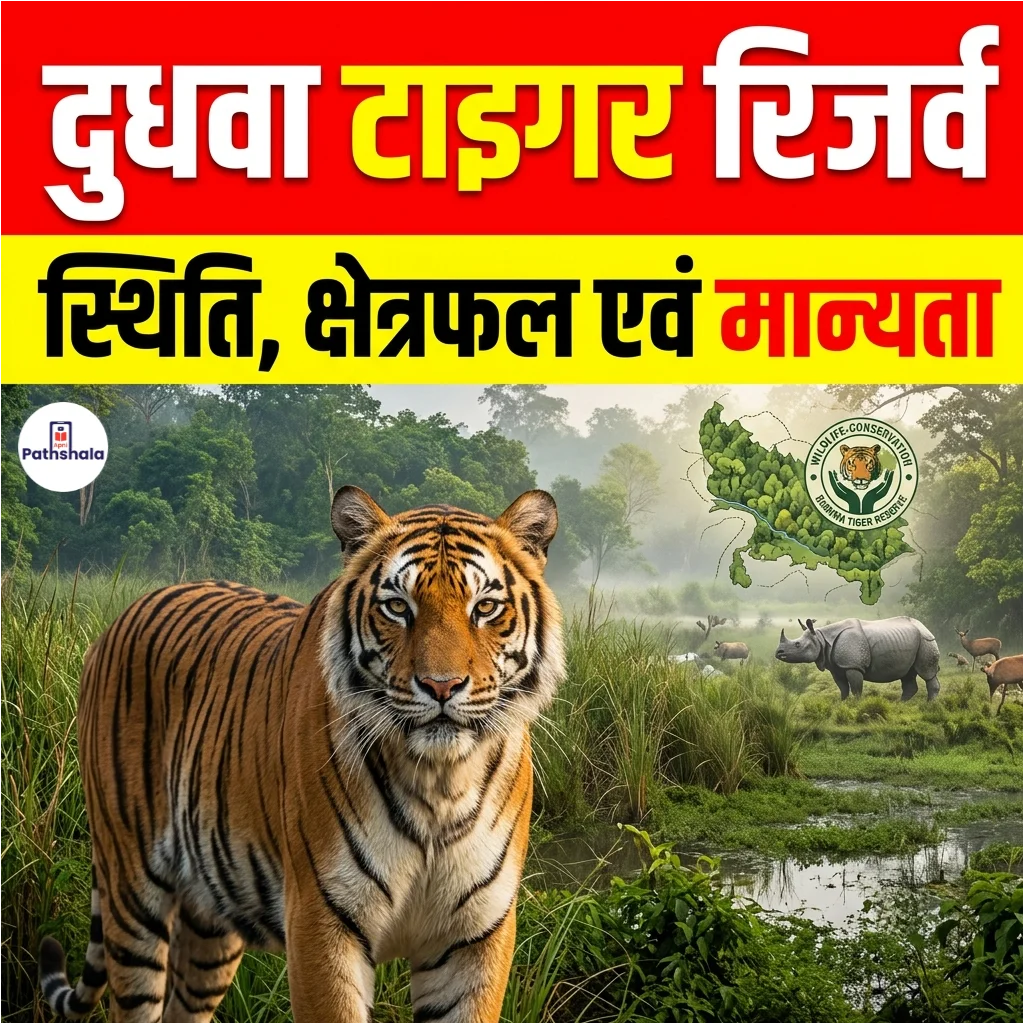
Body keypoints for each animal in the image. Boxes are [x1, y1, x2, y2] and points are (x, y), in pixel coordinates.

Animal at [39, 486, 564, 1024]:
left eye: (486, 607)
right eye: (398, 607)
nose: (442, 686)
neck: (439, 781)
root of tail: (125, 614)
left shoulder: (475, 936)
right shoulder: (321, 920)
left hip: (210, 925)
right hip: (131, 892)